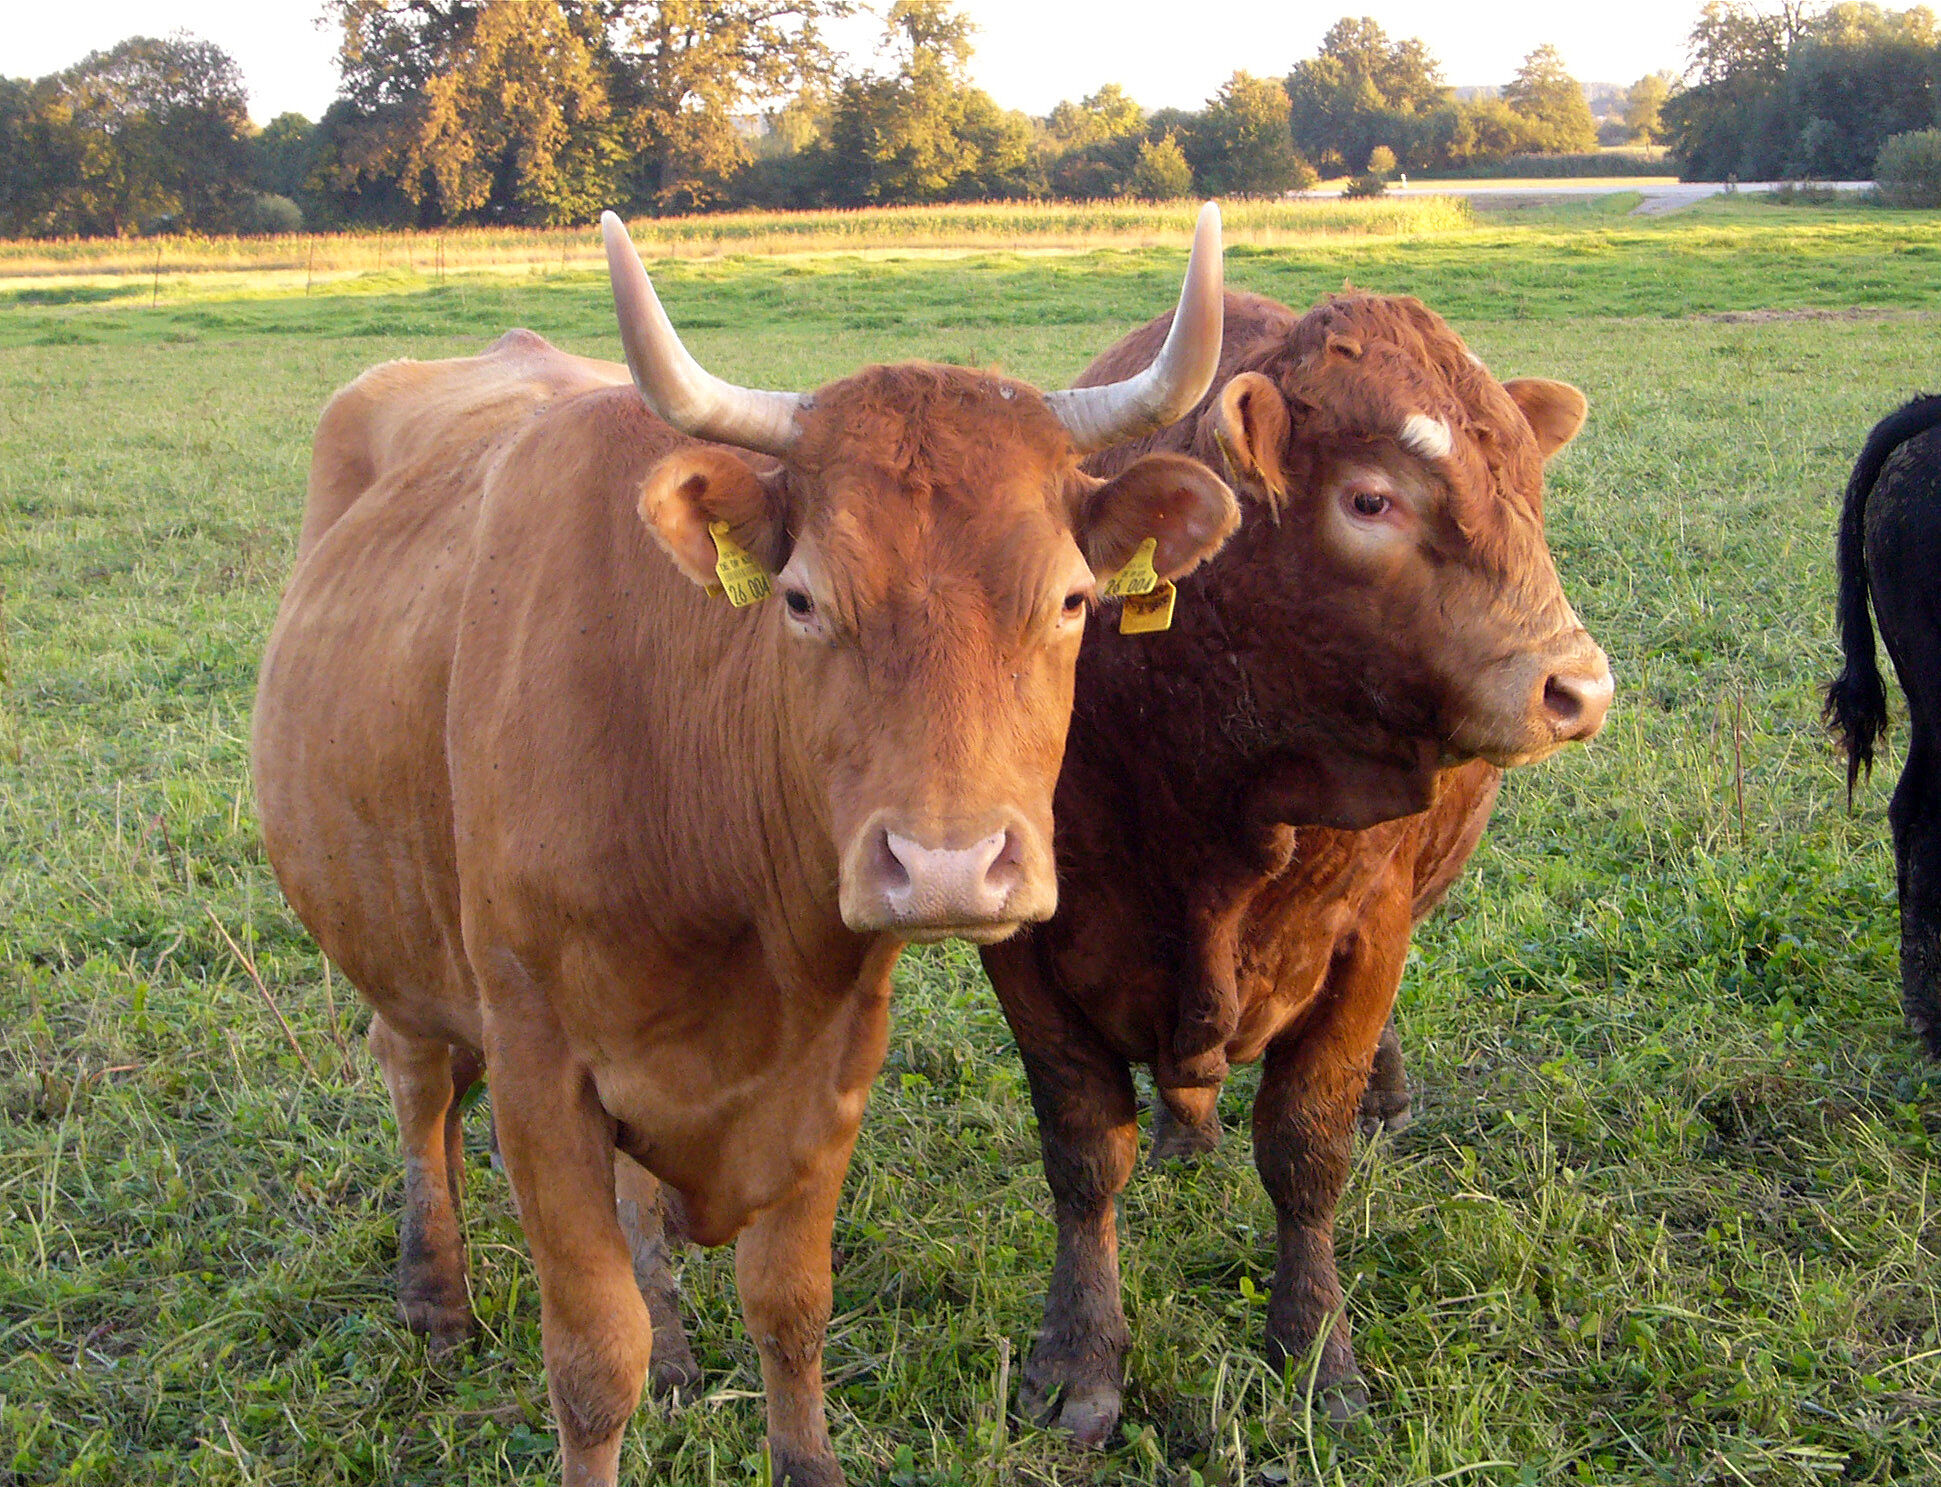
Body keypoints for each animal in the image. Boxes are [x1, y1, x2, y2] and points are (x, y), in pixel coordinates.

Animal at [254, 209, 1242, 1487]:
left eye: (1073, 599)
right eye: (805, 599)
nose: (946, 867)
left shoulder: (829, 1060)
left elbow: (790, 1304)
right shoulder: (537, 1071)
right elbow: (592, 1357)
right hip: (395, 931)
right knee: (417, 1072)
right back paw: (435, 1295)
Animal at [986, 287, 1607, 1444]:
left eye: (1532, 493)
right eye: (1370, 499)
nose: (1577, 687)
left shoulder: (1366, 935)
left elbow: (1305, 1148)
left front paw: (1317, 1348)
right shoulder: (1022, 946)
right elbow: (1084, 1150)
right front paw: (1078, 1354)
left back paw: (1386, 1098)